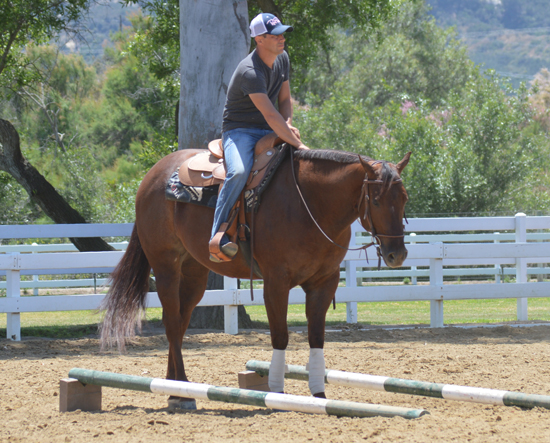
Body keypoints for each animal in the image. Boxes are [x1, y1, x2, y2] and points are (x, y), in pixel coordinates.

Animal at [100, 146, 410, 410]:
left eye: (404, 198)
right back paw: (183, 393)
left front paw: (319, 394)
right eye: (377, 200)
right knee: (173, 323)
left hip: (195, 272)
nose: (397, 254)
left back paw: (174, 389)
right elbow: (281, 335)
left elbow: (316, 336)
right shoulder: (276, 283)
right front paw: (277, 391)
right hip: (165, 265)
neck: (310, 204)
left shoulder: (325, 282)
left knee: (178, 322)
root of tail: (153, 174)